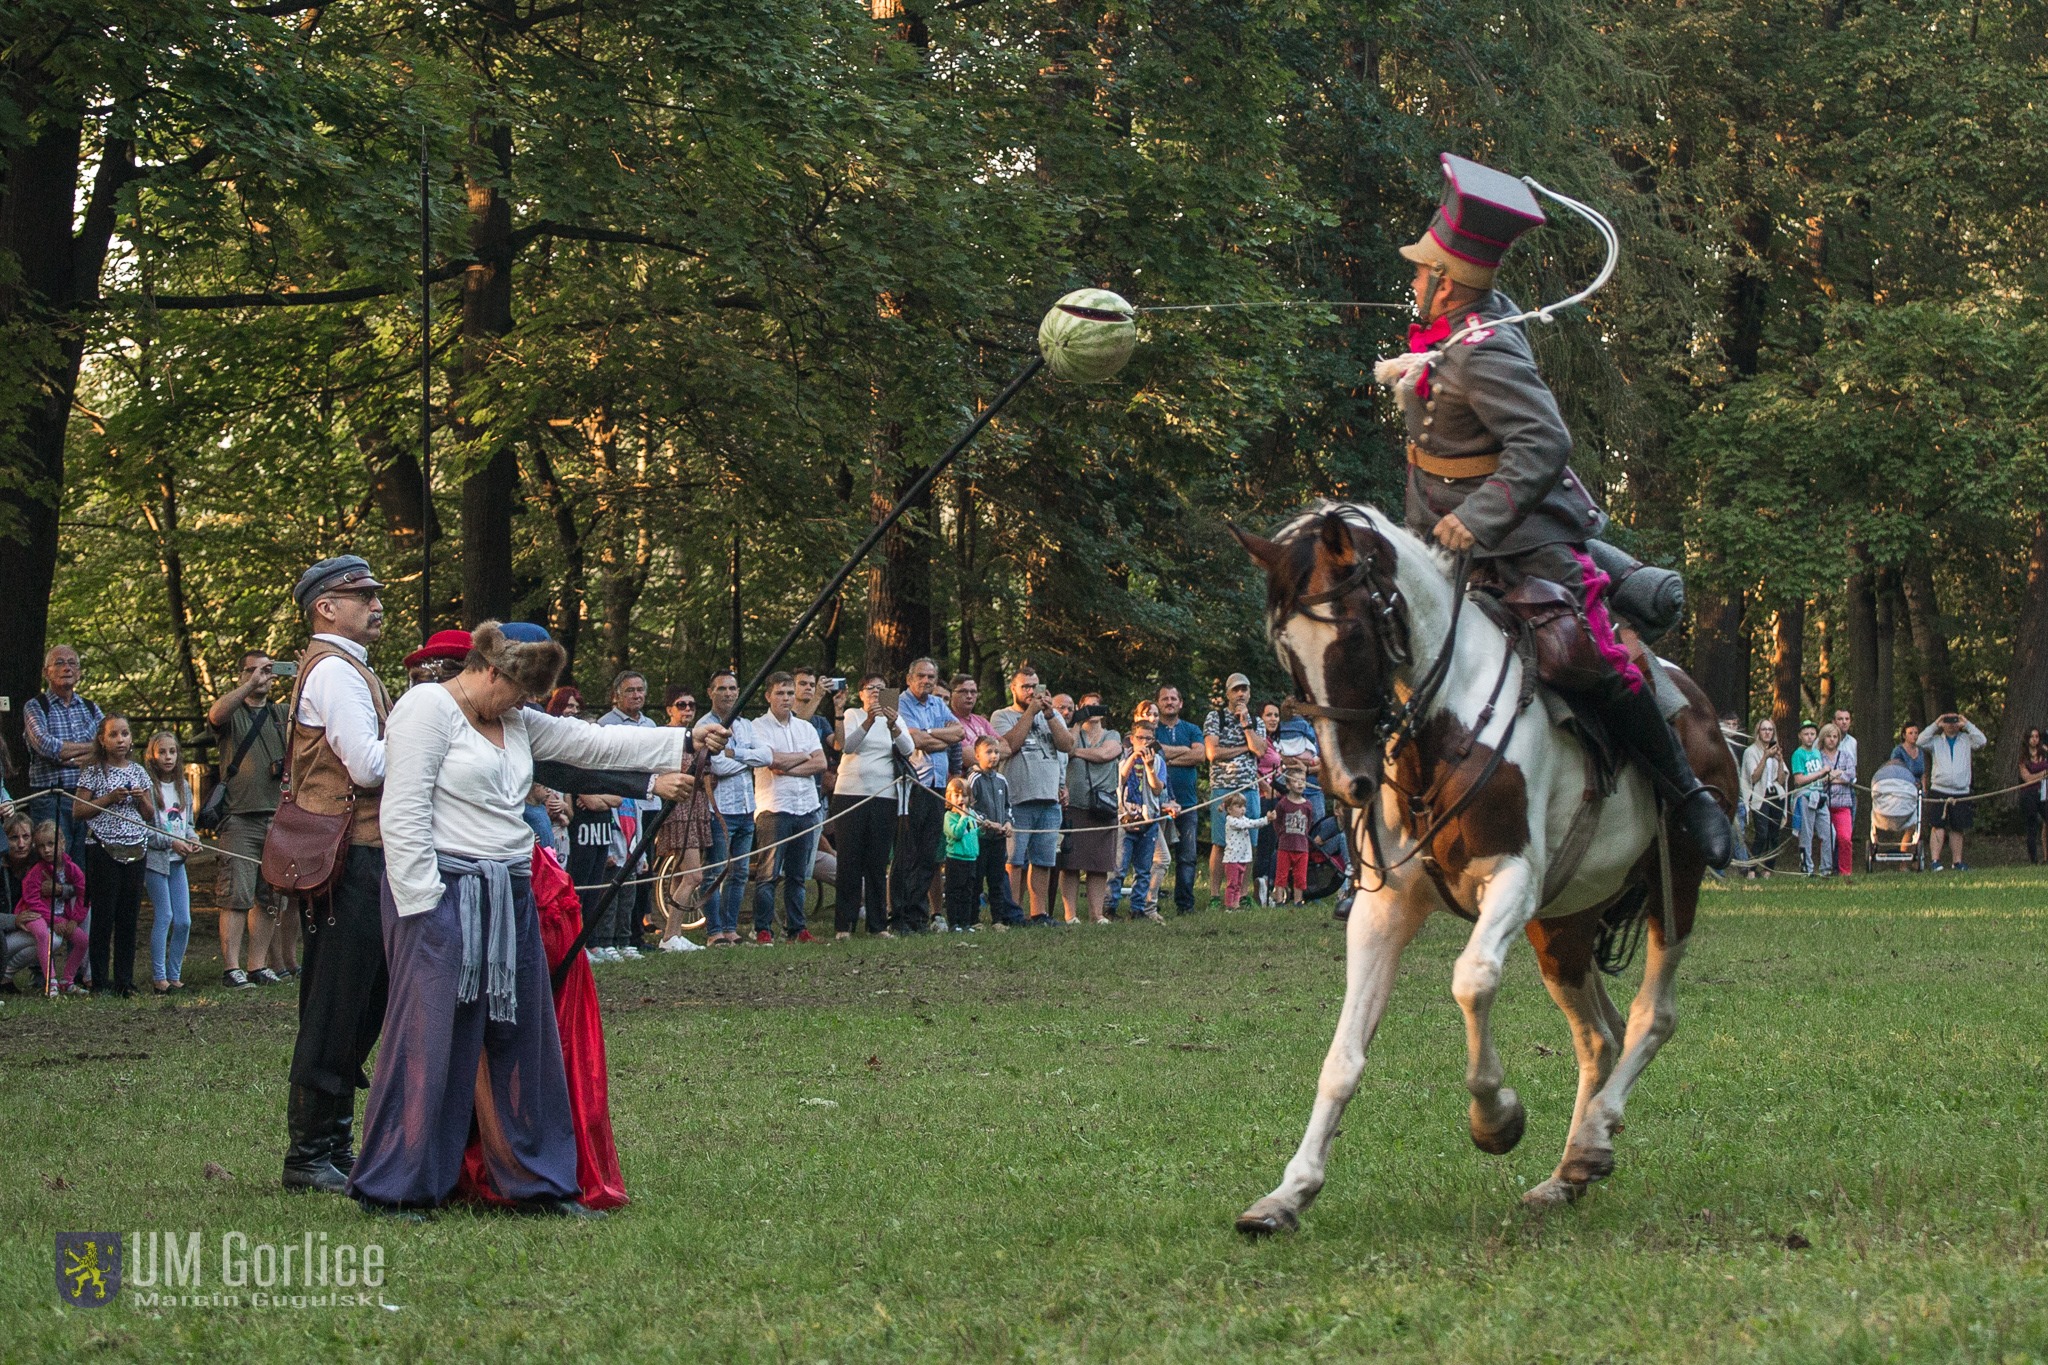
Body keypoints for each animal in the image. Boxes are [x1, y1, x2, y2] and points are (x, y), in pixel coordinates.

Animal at [1228, 501, 1728, 1227]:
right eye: (1288, 652)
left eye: (1353, 635)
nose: (1347, 783)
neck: (1445, 725)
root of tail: (1698, 703)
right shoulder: (1385, 907)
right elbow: (1343, 1056)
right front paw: (1289, 1192)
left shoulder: (1512, 882)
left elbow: (1472, 980)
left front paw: (1496, 1117)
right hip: (1566, 925)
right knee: (1599, 1037)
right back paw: (1572, 1166)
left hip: (1674, 883)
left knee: (1651, 1016)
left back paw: (1595, 1131)